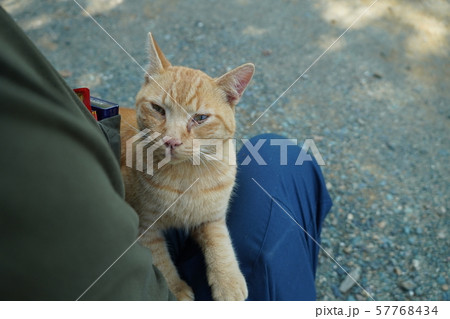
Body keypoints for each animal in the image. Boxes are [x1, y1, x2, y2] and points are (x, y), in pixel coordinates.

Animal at [118, 33, 253, 302]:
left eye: (200, 118)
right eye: (158, 109)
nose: (171, 140)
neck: (186, 175)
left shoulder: (211, 218)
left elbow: (221, 243)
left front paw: (228, 281)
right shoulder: (144, 231)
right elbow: (160, 264)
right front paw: (177, 290)